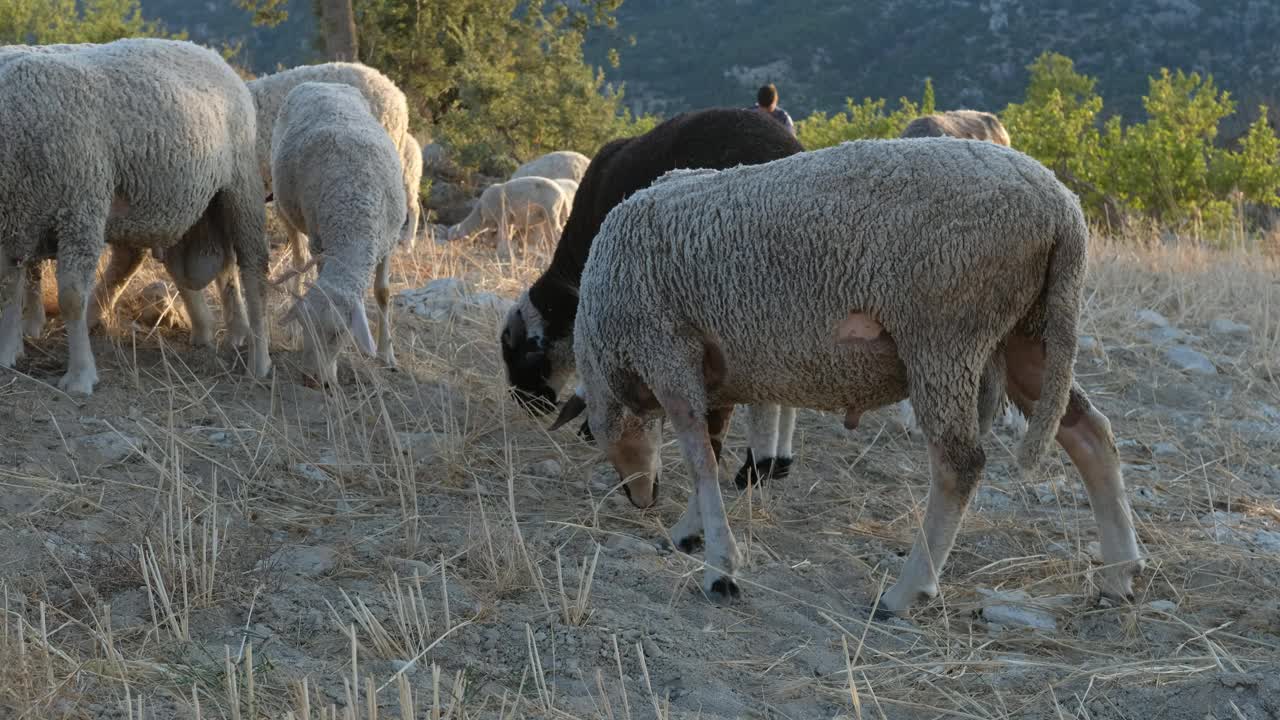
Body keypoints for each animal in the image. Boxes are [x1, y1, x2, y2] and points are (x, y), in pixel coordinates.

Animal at [0, 36, 272, 394]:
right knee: (205, 265)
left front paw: (80, 375)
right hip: (182, 207)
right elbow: (8, 286)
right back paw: (215, 331)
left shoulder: (81, 208)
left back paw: (258, 358)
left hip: (239, 185)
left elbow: (70, 296)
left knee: (253, 267)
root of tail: (208, 52)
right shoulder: (15, 221)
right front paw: (7, 352)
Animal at [271, 80, 407, 384]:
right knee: (298, 261)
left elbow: (383, 293)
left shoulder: (388, 241)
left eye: (339, 333)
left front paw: (387, 355)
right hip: (285, 208)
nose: (312, 380)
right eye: (307, 328)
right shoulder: (322, 243)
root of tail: (321, 83)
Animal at [550, 139, 1141, 609]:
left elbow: (699, 458)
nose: (639, 499)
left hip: (946, 334)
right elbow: (712, 450)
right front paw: (691, 532)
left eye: (595, 436)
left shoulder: (666, 348)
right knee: (1090, 432)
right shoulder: (709, 370)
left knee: (960, 464)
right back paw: (1119, 575)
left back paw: (906, 592)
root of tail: (1062, 210)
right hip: (1027, 332)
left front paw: (720, 567)